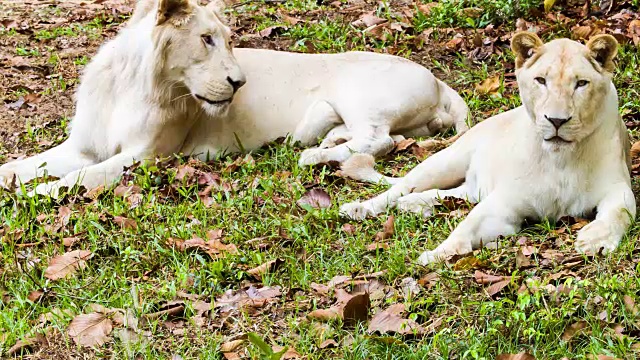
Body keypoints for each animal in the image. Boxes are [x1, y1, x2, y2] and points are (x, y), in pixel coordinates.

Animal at [0, 0, 468, 197]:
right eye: (206, 39)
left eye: (228, 40)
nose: (240, 83)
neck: (133, 85)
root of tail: (439, 82)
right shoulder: (81, 146)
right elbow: (24, 166)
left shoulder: (148, 156)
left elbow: (84, 177)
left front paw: (41, 193)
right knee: (373, 137)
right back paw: (325, 143)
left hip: (360, 92)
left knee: (380, 139)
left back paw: (314, 155)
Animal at [340, 32, 636, 264]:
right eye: (541, 80)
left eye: (581, 83)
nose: (556, 120)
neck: (560, 158)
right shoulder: (505, 201)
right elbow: (467, 225)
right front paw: (436, 254)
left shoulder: (617, 187)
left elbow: (620, 212)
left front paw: (595, 240)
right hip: (445, 161)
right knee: (399, 188)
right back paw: (360, 208)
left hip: (470, 184)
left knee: (455, 194)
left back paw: (413, 204)